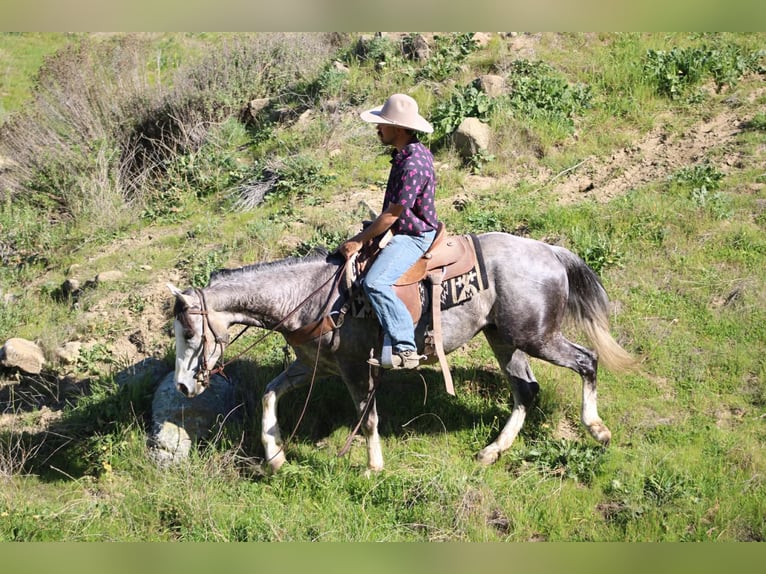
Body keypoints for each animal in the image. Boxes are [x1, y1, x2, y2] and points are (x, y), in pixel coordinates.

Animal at [168, 231, 635, 473]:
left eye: (189, 330)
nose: (183, 386)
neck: (310, 296)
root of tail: (550, 251)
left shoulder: (356, 367)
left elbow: (367, 417)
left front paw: (373, 467)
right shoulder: (313, 366)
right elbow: (268, 394)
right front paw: (277, 456)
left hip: (536, 337)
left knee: (586, 361)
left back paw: (597, 429)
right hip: (504, 339)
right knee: (526, 391)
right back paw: (492, 451)